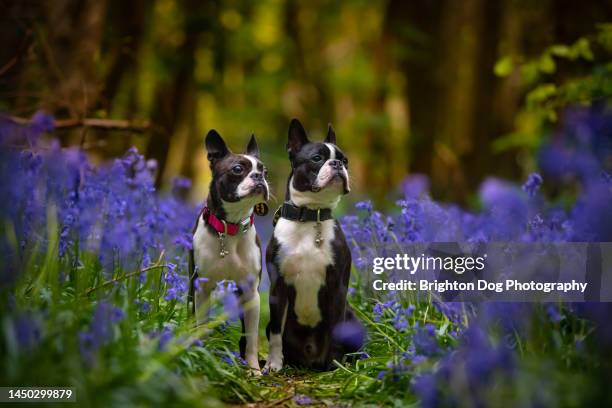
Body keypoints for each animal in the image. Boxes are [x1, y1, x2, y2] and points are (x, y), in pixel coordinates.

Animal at [189, 130, 270, 372]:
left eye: (264, 170)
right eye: (237, 169)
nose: (259, 177)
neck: (230, 227)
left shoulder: (251, 293)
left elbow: (251, 337)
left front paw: (253, 370)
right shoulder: (202, 289)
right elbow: (201, 325)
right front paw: (202, 356)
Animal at [262, 118, 364, 372]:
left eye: (345, 160)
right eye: (317, 158)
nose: (337, 164)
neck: (310, 216)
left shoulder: (337, 286)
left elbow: (336, 330)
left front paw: (335, 366)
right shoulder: (277, 287)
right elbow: (276, 333)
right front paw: (273, 365)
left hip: (354, 320)